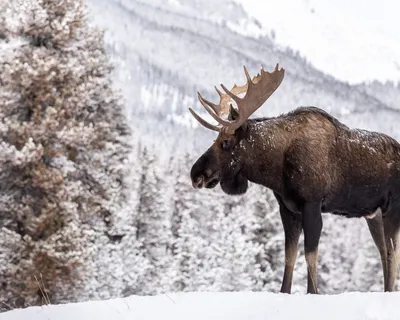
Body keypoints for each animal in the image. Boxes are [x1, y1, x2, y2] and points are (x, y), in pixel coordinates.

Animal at [189, 63, 400, 294]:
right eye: (215, 139)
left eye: (226, 142)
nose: (195, 173)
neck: (277, 169)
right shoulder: (288, 208)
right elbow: (289, 256)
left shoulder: (312, 204)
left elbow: (310, 256)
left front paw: (312, 292)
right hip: (374, 215)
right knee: (383, 252)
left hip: (392, 208)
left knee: (392, 254)